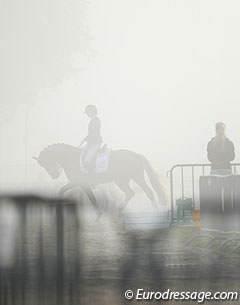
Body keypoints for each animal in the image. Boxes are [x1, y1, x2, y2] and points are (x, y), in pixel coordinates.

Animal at [33, 144, 169, 217]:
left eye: (45, 163)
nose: (54, 176)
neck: (71, 158)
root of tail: (136, 155)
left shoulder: (80, 183)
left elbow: (86, 197)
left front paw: (99, 214)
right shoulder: (78, 185)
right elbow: (71, 193)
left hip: (129, 179)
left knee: (139, 193)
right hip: (129, 179)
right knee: (140, 193)